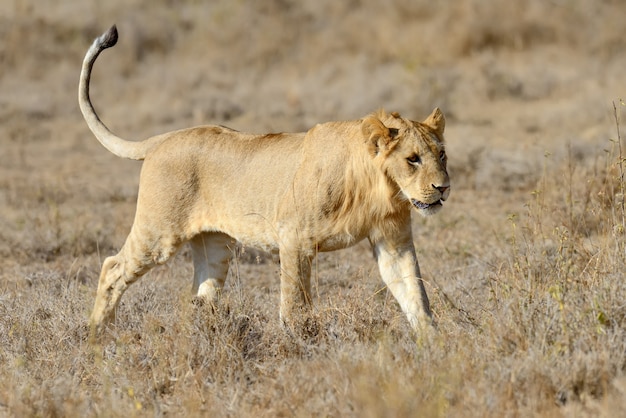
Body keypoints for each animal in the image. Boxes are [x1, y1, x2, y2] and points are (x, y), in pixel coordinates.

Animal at [79, 24, 448, 334]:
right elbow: (295, 302)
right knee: (112, 267)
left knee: (200, 292)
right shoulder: (293, 238)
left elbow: (415, 293)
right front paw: (297, 341)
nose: (443, 188)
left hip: (215, 245)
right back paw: (97, 335)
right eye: (412, 159)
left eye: (441, 155)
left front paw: (433, 346)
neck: (378, 189)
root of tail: (164, 137)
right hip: (159, 232)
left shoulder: (394, 241)